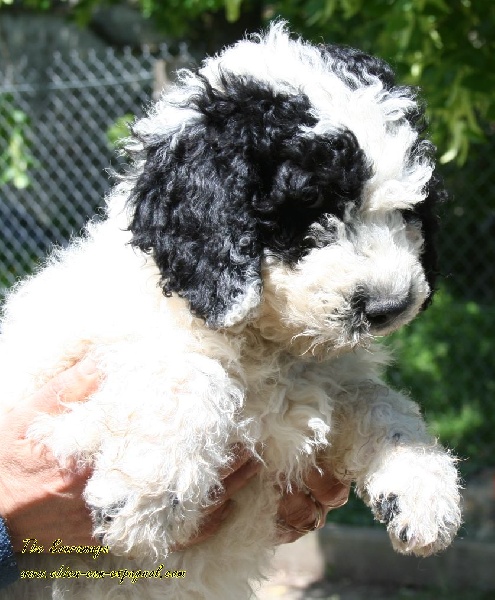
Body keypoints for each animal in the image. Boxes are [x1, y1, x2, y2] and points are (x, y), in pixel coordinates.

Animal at [0, 23, 461, 600]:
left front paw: (422, 485)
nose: (389, 306)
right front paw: (148, 494)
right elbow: (190, 374)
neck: (267, 345)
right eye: (310, 203)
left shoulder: (324, 386)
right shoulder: (68, 387)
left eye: (411, 209)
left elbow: (379, 400)